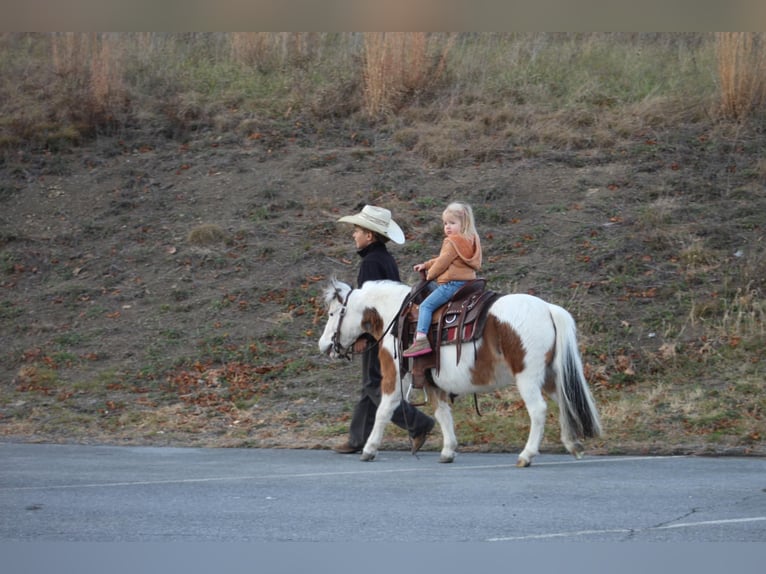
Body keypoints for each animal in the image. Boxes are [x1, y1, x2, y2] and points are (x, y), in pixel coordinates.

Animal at [318, 280, 600, 468]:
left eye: (333, 313)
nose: (324, 346)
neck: (395, 317)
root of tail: (548, 309)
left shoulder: (394, 376)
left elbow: (384, 410)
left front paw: (369, 449)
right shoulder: (432, 382)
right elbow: (443, 414)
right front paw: (448, 450)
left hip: (528, 377)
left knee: (539, 410)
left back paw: (527, 455)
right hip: (550, 376)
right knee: (564, 402)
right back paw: (573, 445)